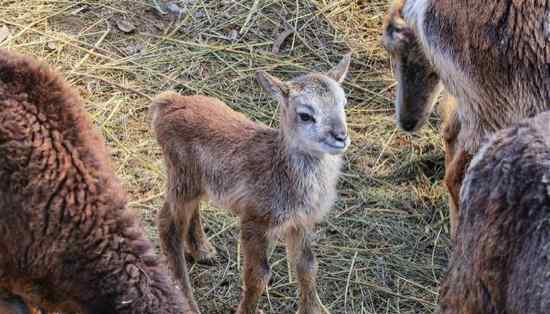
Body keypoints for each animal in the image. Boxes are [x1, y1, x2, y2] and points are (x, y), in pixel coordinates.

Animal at [150, 54, 354, 314]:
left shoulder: (300, 222)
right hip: (181, 175)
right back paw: (187, 301)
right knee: (167, 224)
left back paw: (204, 251)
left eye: (343, 103)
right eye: (305, 115)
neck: (280, 170)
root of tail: (167, 102)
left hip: (196, 180)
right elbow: (258, 275)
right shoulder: (253, 221)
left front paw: (311, 309)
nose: (341, 136)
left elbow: (307, 265)